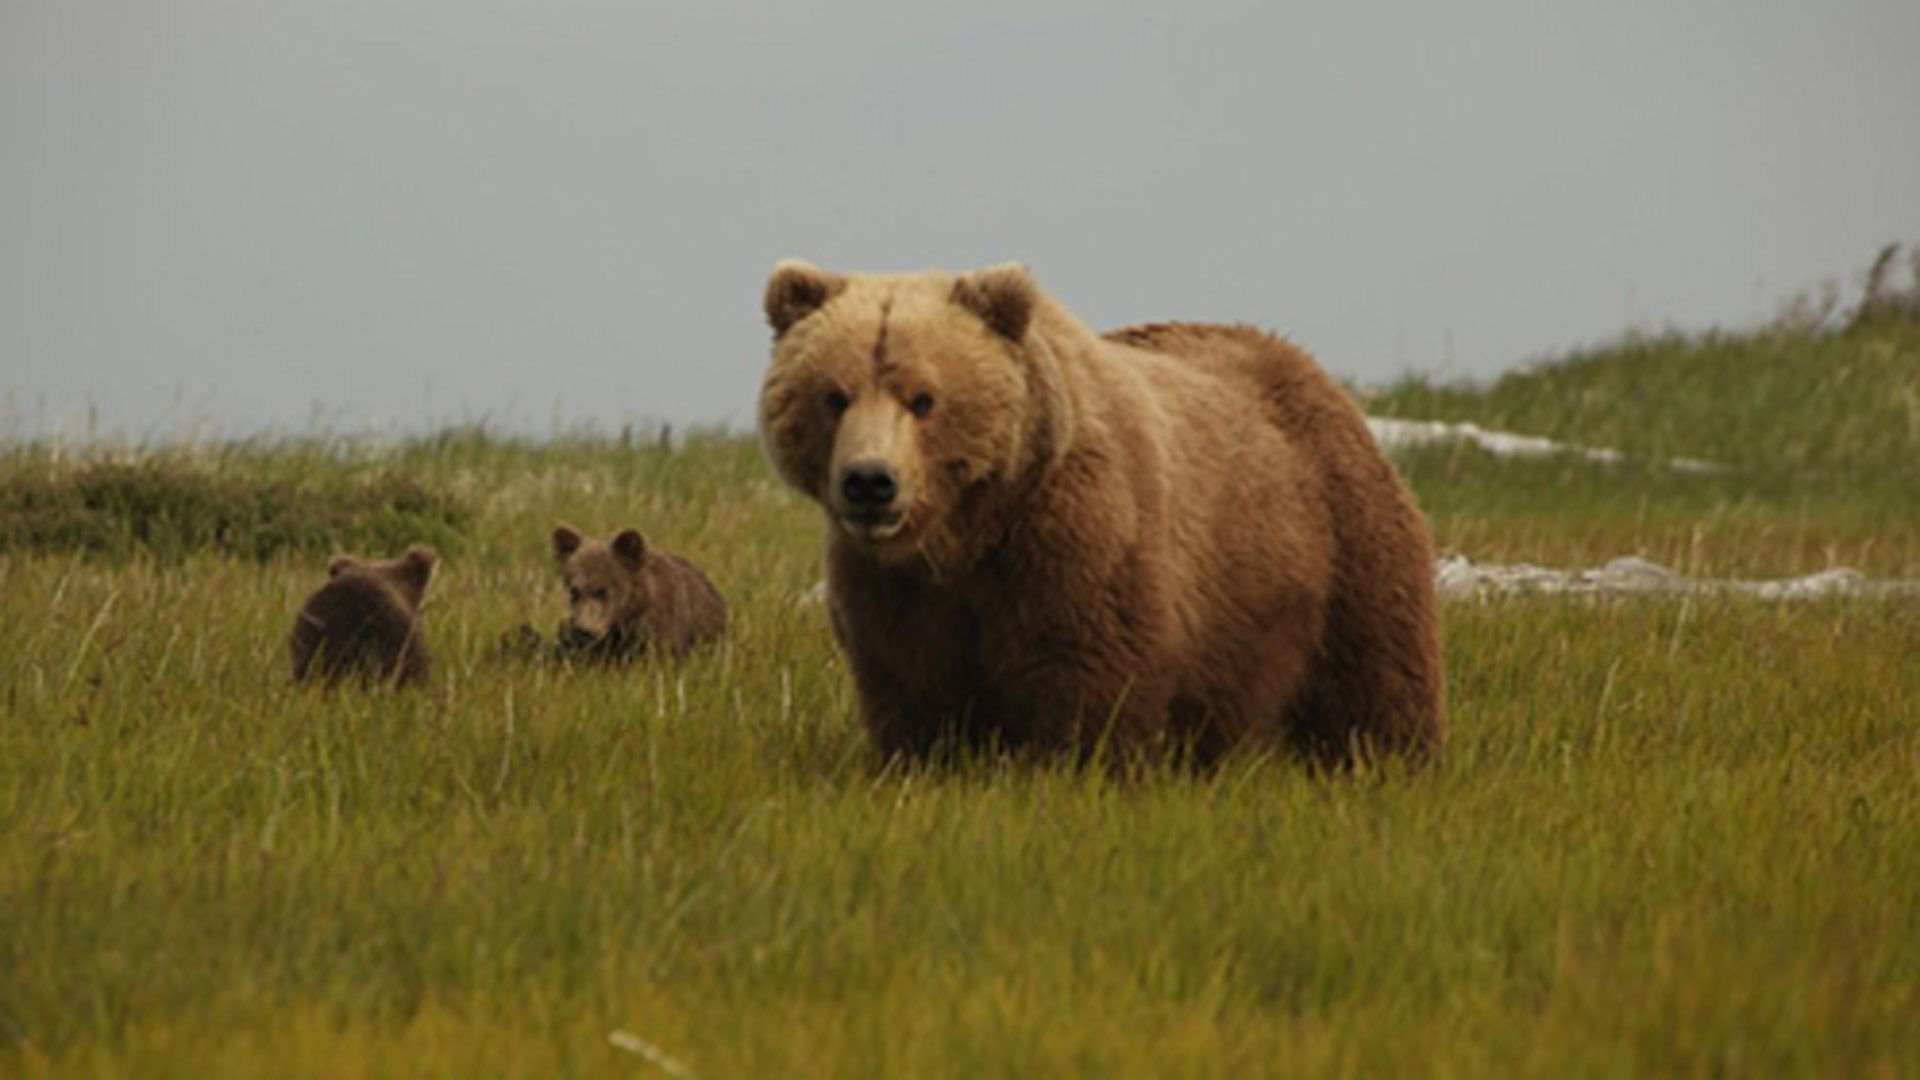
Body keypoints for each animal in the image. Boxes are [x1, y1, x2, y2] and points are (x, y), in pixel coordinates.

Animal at [748, 261, 1443, 764]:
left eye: (923, 398)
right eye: (833, 395)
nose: (870, 483)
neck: (967, 533)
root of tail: (1309, 369)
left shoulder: (1074, 539)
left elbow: (1089, 673)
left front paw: (1075, 769)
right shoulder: (892, 588)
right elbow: (914, 690)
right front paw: (928, 763)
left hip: (1339, 544)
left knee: (1375, 682)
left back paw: (1389, 761)